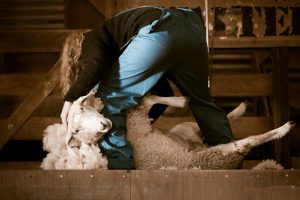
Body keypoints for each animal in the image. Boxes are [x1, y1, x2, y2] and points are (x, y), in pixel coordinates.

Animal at [40, 91, 296, 170]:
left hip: (188, 132)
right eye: (76, 130)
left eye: (83, 107)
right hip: (217, 155)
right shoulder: (138, 120)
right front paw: (180, 101)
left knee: (203, 129)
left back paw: (241, 109)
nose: (104, 126)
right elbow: (147, 100)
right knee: (247, 142)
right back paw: (284, 127)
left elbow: (149, 99)